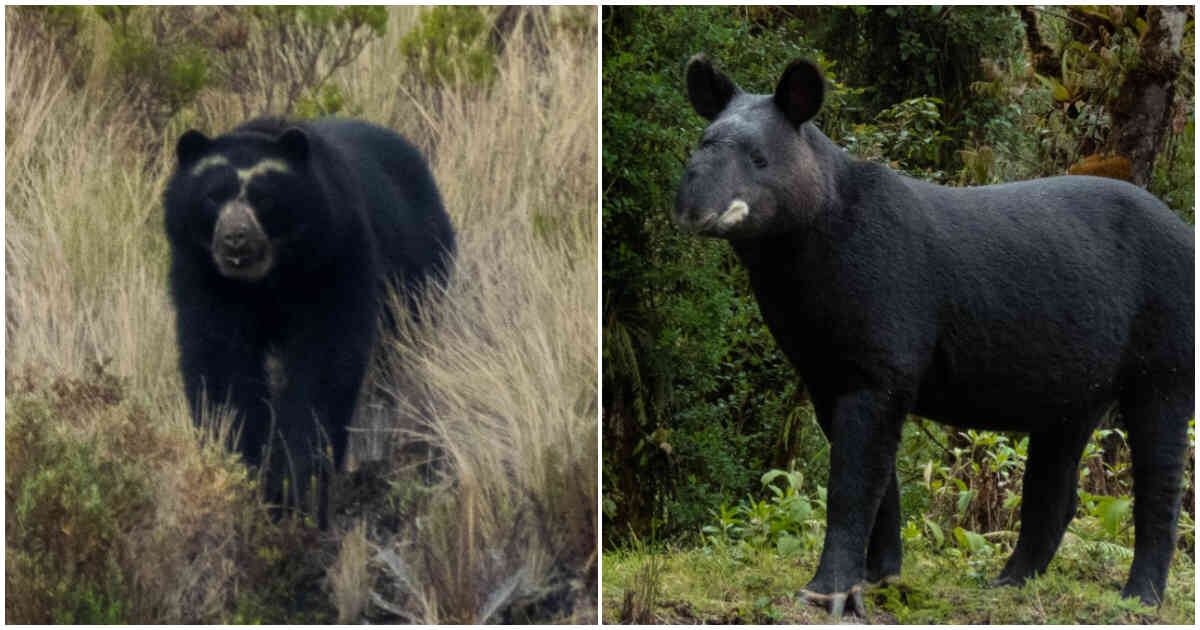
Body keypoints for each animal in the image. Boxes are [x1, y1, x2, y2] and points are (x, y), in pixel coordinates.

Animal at [164, 117, 455, 528]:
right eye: (212, 197)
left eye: (264, 198)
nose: (236, 240)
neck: (268, 280)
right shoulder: (204, 276)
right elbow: (220, 363)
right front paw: (243, 471)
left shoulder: (336, 258)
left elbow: (323, 366)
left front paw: (297, 489)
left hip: (418, 275)